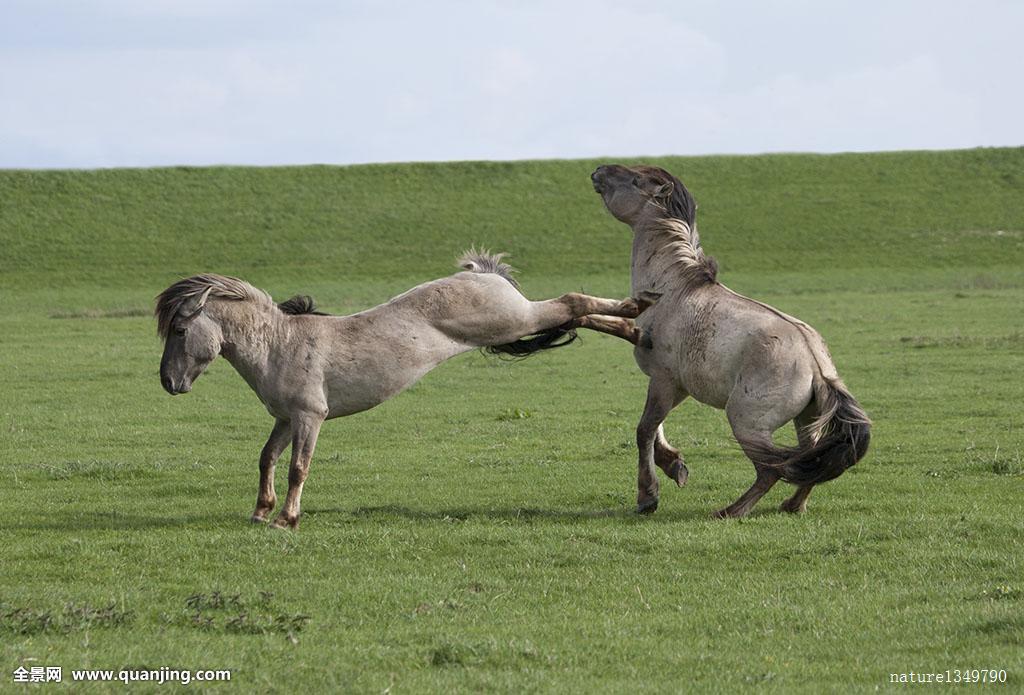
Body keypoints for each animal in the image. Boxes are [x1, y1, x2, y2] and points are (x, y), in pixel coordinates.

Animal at [157, 252, 655, 528]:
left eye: (179, 329)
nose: (168, 382)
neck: (279, 344)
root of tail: (480, 273)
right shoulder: (284, 418)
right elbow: (267, 459)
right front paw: (261, 512)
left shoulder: (308, 418)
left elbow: (298, 468)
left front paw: (286, 520)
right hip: (515, 324)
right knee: (577, 315)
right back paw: (636, 330)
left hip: (514, 319)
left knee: (573, 302)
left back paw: (638, 306)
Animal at [589, 165, 868, 519]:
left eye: (636, 180)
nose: (599, 171)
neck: (673, 289)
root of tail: (817, 367)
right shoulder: (675, 385)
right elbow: (655, 427)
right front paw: (675, 466)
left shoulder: (665, 380)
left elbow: (645, 430)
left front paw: (648, 496)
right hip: (806, 420)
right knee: (809, 460)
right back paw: (792, 505)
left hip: (745, 422)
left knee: (773, 468)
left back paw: (730, 511)